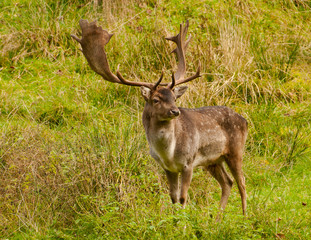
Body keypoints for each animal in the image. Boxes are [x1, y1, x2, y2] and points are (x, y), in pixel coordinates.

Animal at [72, 19, 250, 217]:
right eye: (156, 99)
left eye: (174, 98)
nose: (175, 111)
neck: (169, 153)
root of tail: (245, 120)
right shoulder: (168, 168)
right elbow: (173, 198)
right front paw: (174, 219)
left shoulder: (188, 163)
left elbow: (183, 197)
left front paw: (183, 221)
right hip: (213, 160)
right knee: (227, 182)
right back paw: (218, 219)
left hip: (235, 149)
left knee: (242, 183)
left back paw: (244, 217)